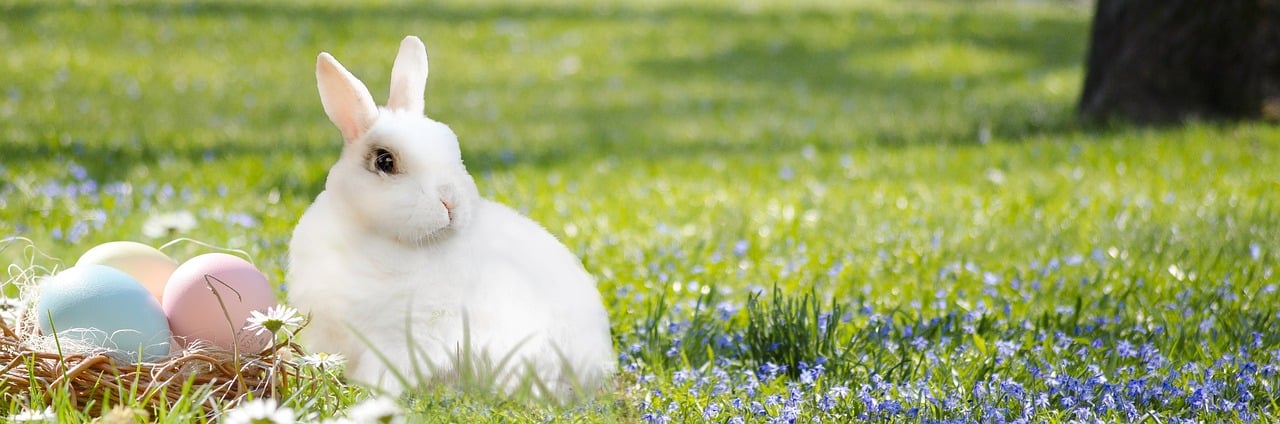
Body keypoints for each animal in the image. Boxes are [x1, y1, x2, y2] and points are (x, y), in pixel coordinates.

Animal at [286, 36, 616, 399]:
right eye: (385, 161)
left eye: (453, 151)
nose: (450, 201)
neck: (371, 236)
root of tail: (595, 370)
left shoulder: (403, 340)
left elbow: (383, 374)